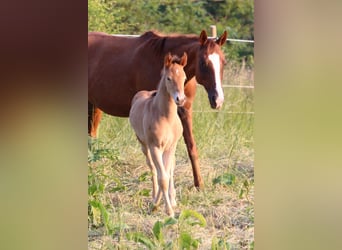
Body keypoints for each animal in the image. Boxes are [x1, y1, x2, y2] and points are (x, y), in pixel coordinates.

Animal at [88, 29, 227, 189]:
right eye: (204, 63)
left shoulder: (185, 110)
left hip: (94, 106)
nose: (217, 99)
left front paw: (199, 184)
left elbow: (191, 146)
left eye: (224, 62)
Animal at [129, 51, 187, 216]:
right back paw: (155, 196)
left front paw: (167, 205)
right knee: (153, 168)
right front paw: (161, 207)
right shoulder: (155, 147)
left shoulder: (171, 147)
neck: (166, 117)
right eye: (169, 78)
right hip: (144, 145)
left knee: (170, 169)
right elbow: (162, 178)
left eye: (184, 77)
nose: (180, 99)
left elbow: (167, 173)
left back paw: (171, 199)